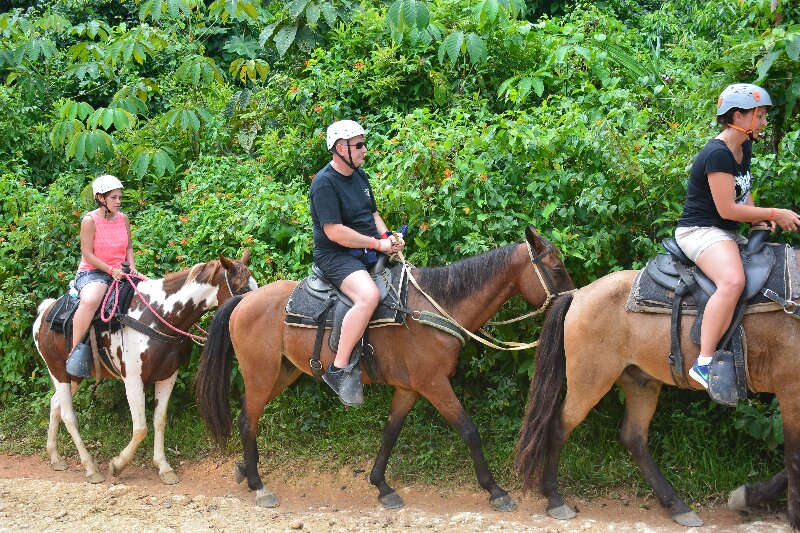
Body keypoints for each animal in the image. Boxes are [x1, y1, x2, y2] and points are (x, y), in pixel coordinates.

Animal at [32, 251, 256, 485]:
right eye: (243, 290)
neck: (158, 315)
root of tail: (45, 312)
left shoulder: (167, 377)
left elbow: (159, 420)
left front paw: (164, 467)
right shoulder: (132, 380)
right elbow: (140, 427)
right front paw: (118, 464)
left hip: (74, 376)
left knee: (55, 404)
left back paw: (55, 457)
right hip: (59, 372)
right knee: (69, 416)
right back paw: (91, 468)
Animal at [194, 226, 574, 509]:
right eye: (557, 269)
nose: (573, 300)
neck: (434, 305)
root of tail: (242, 300)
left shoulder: (409, 388)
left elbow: (390, 433)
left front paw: (382, 486)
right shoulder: (434, 383)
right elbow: (469, 430)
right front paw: (495, 490)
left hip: (282, 373)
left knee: (248, 416)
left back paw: (246, 470)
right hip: (261, 374)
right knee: (248, 419)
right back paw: (259, 486)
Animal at [514, 260, 800, 528]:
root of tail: (578, 295)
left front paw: (750, 497)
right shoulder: (790, 388)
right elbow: (794, 457)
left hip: (641, 382)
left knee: (634, 438)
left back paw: (677, 506)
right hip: (590, 381)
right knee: (558, 427)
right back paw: (555, 499)